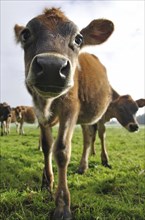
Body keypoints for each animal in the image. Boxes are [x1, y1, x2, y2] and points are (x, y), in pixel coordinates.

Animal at [14, 7, 114, 220]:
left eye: (78, 38)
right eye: (26, 34)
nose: (51, 66)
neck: (47, 103)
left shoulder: (70, 107)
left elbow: (61, 150)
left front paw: (62, 205)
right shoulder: (38, 109)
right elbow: (46, 146)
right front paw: (46, 182)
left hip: (100, 112)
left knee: (100, 134)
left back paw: (104, 159)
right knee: (88, 136)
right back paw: (83, 166)